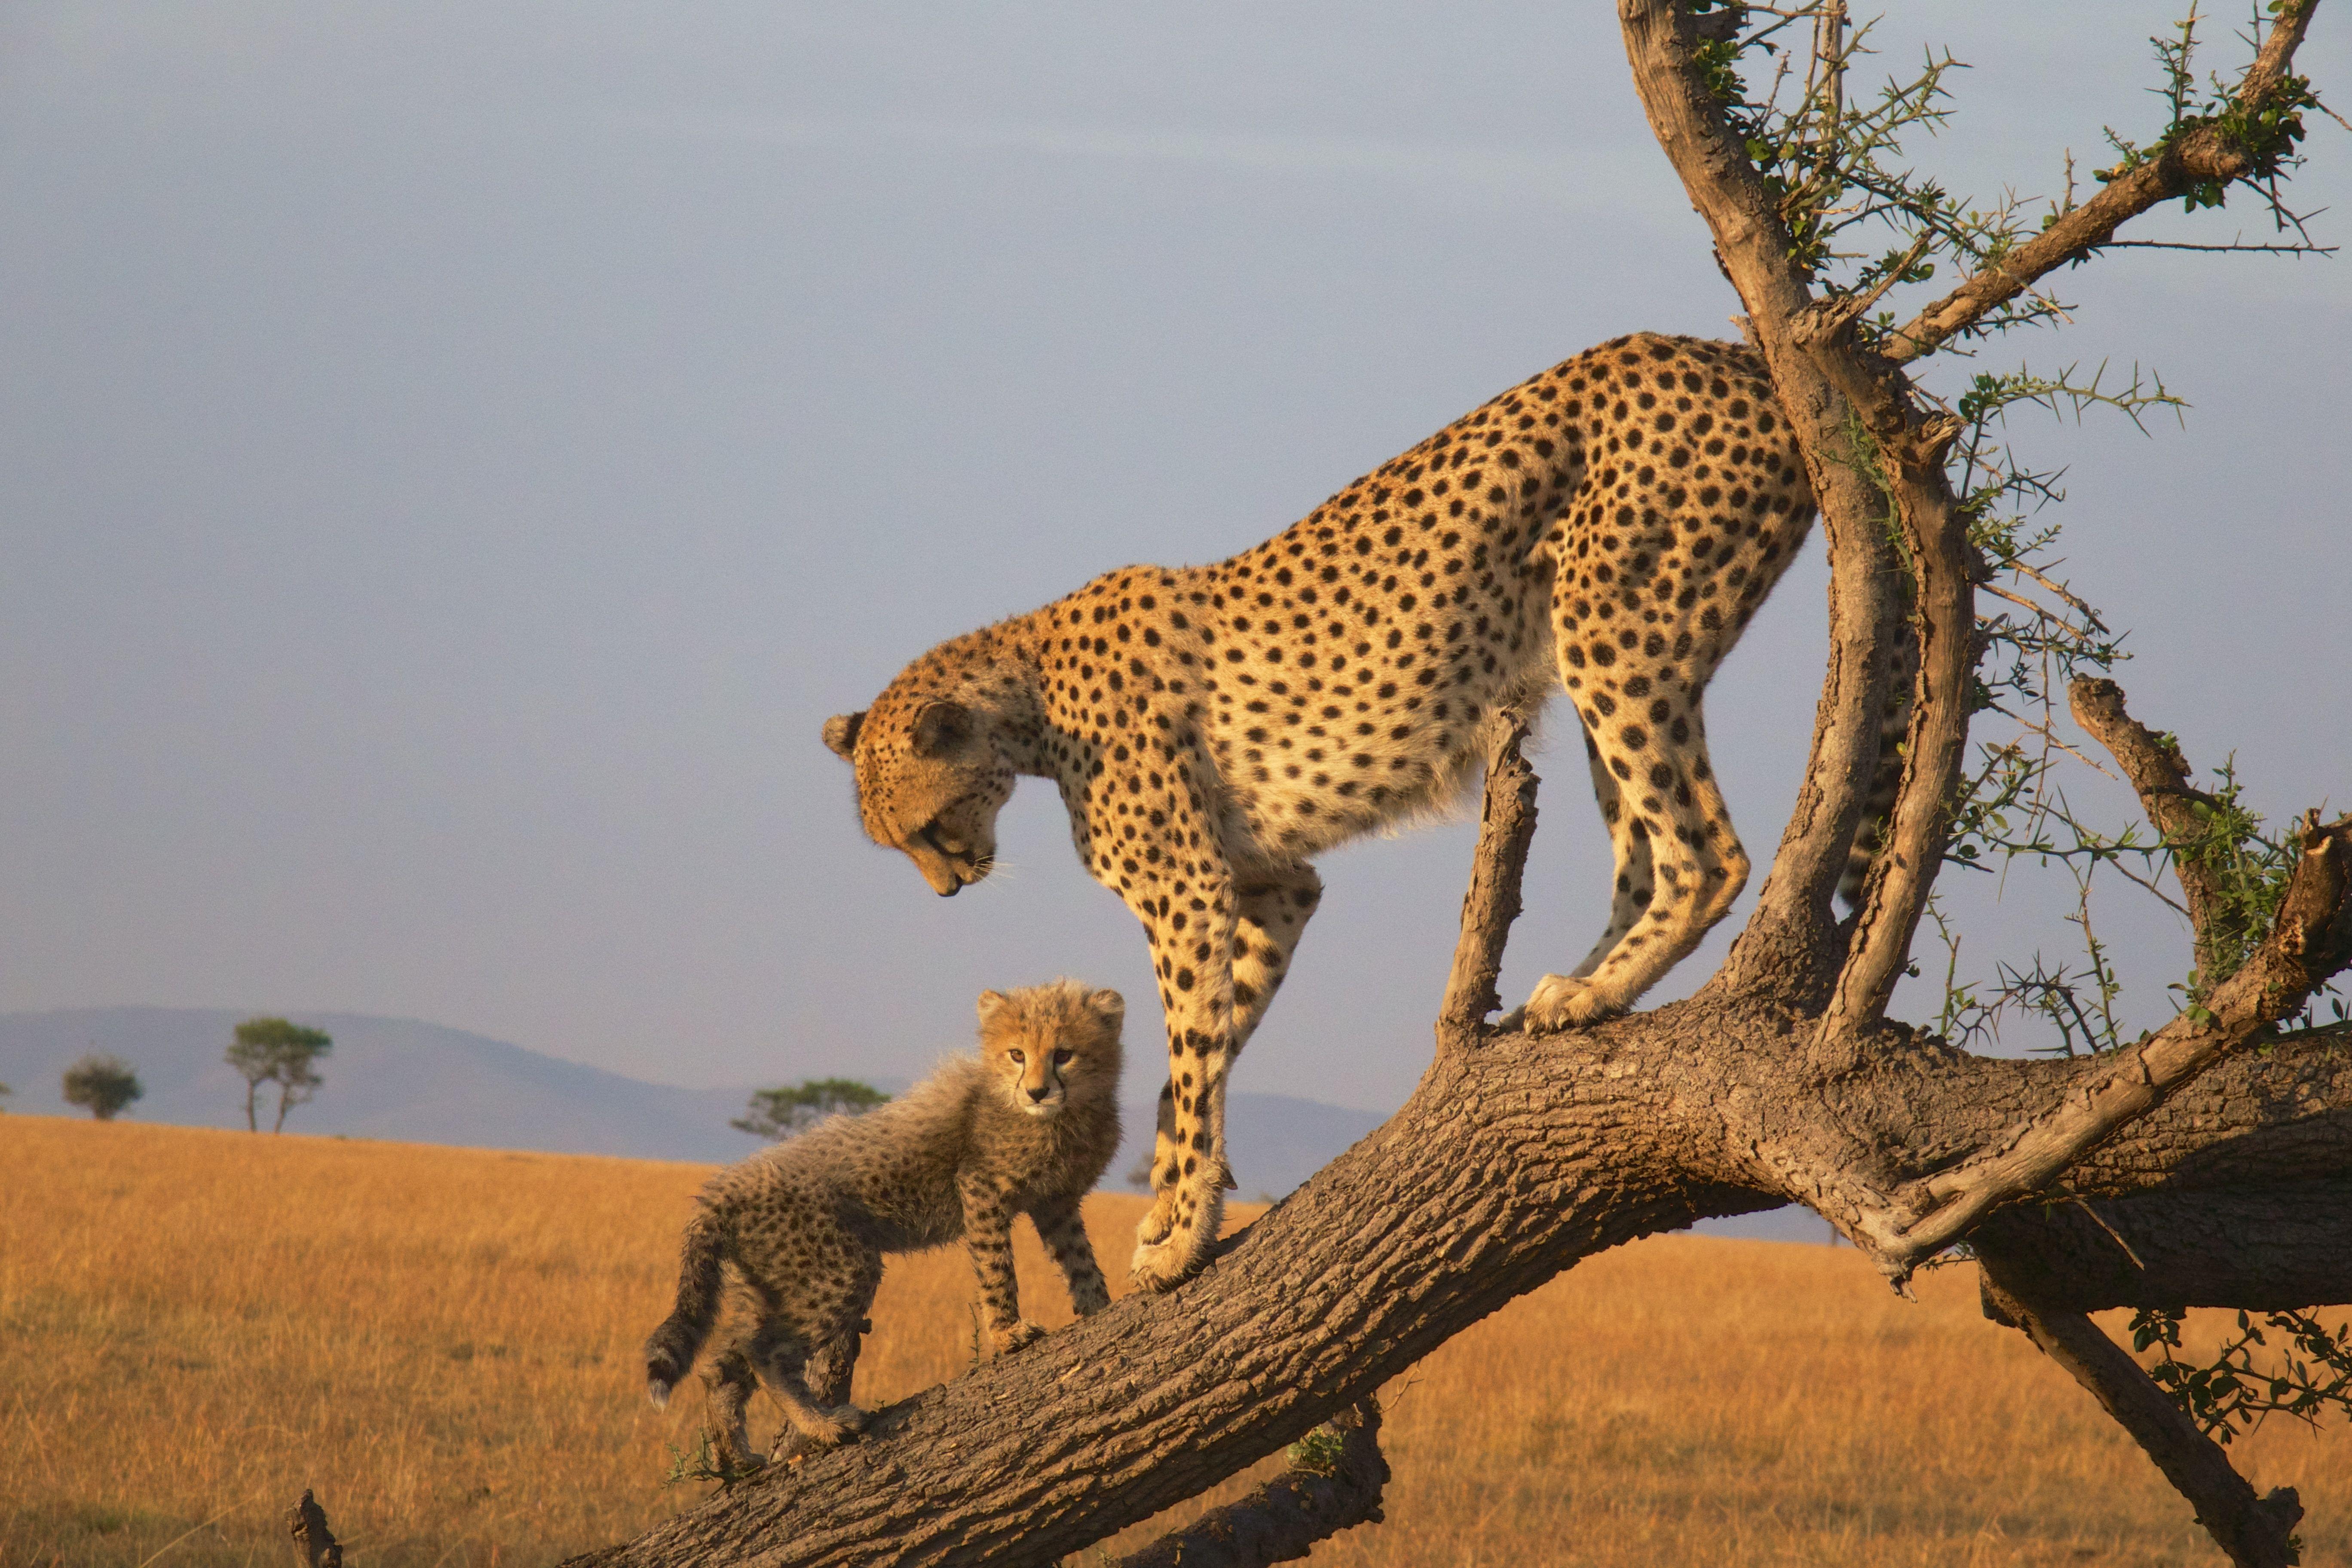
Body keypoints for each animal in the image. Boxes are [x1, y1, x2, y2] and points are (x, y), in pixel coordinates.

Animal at [828, 331, 1816, 1288]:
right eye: (900, 845)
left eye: (928, 829)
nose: (950, 888)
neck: (1029, 694)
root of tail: (1725, 353)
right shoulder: (1273, 884)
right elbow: (1202, 1056)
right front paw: (1168, 1210)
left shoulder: (1186, 892)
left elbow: (1192, 1056)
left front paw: (1181, 1239)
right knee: (1642, 856)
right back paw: (1567, 991)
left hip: (1615, 633)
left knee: (1707, 852)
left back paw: (1591, 992)